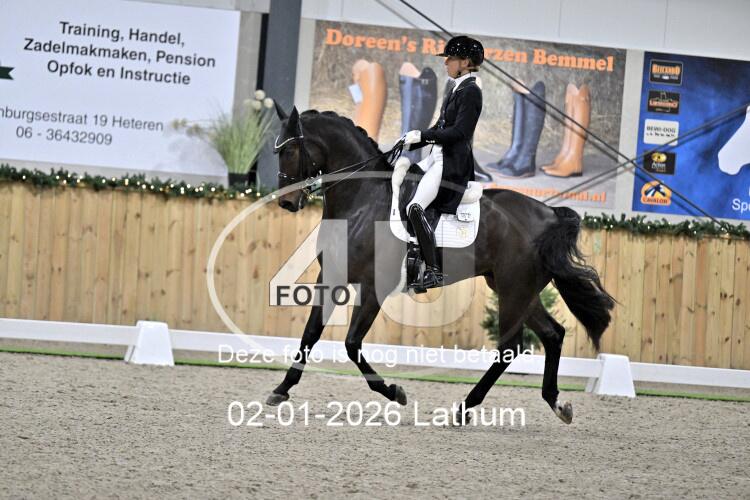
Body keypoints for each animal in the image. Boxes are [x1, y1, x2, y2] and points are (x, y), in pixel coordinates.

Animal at [266, 105, 614, 424]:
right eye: (277, 150)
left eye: (290, 150)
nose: (287, 202)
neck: (362, 201)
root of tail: (549, 214)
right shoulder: (331, 276)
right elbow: (310, 334)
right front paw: (281, 389)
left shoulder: (373, 287)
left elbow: (352, 344)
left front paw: (394, 392)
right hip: (516, 289)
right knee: (552, 334)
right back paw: (556, 403)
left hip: (514, 289)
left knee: (510, 347)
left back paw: (463, 409)